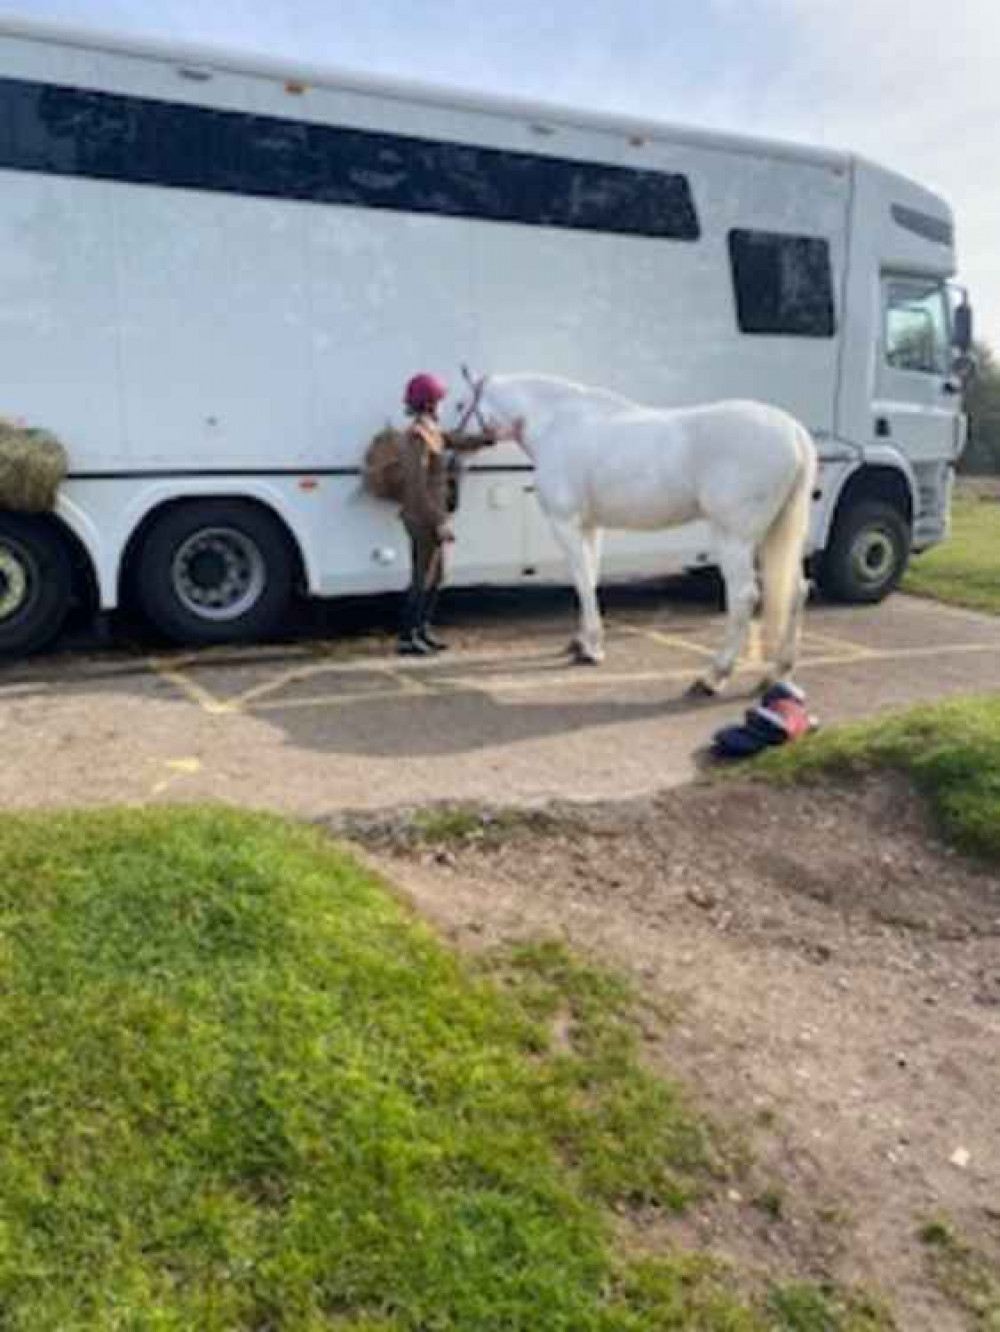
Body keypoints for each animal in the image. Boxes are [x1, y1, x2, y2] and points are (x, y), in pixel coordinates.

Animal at [468, 370, 814, 692]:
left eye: (462, 405)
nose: (455, 444)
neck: (559, 424)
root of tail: (794, 432)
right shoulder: (589, 525)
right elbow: (589, 578)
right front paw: (582, 642)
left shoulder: (564, 523)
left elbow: (581, 581)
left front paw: (591, 649)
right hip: (773, 534)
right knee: (796, 590)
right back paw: (777, 672)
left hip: (735, 538)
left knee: (743, 596)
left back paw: (714, 676)